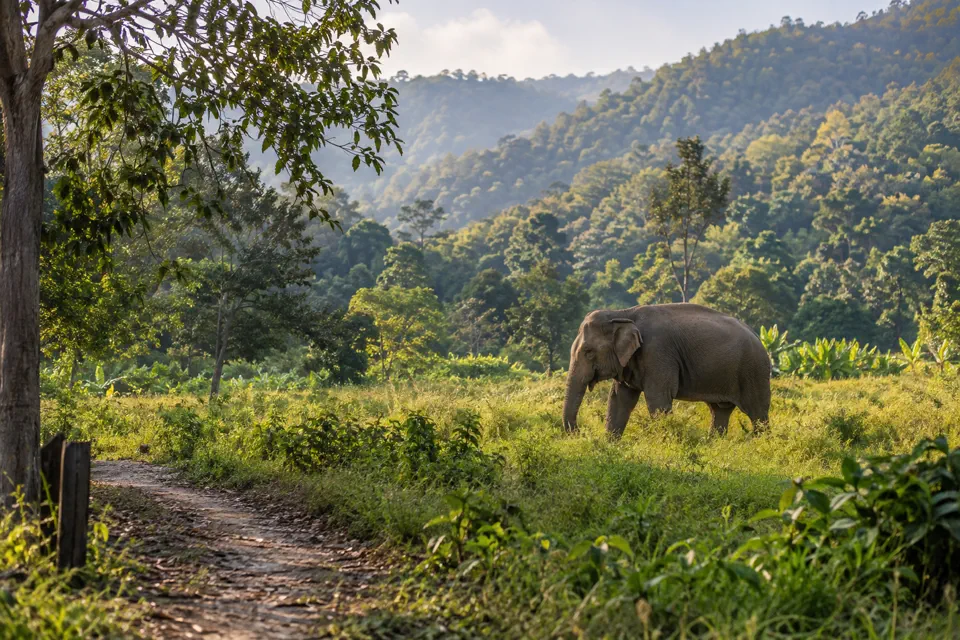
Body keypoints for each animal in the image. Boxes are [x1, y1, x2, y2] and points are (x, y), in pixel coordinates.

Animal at [562, 304, 771, 437]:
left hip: (753, 371)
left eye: (588, 352)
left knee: (758, 413)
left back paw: (761, 445)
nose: (580, 433)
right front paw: (611, 445)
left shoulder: (657, 353)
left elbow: (658, 400)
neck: (623, 313)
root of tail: (757, 336)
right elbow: (620, 399)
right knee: (719, 411)